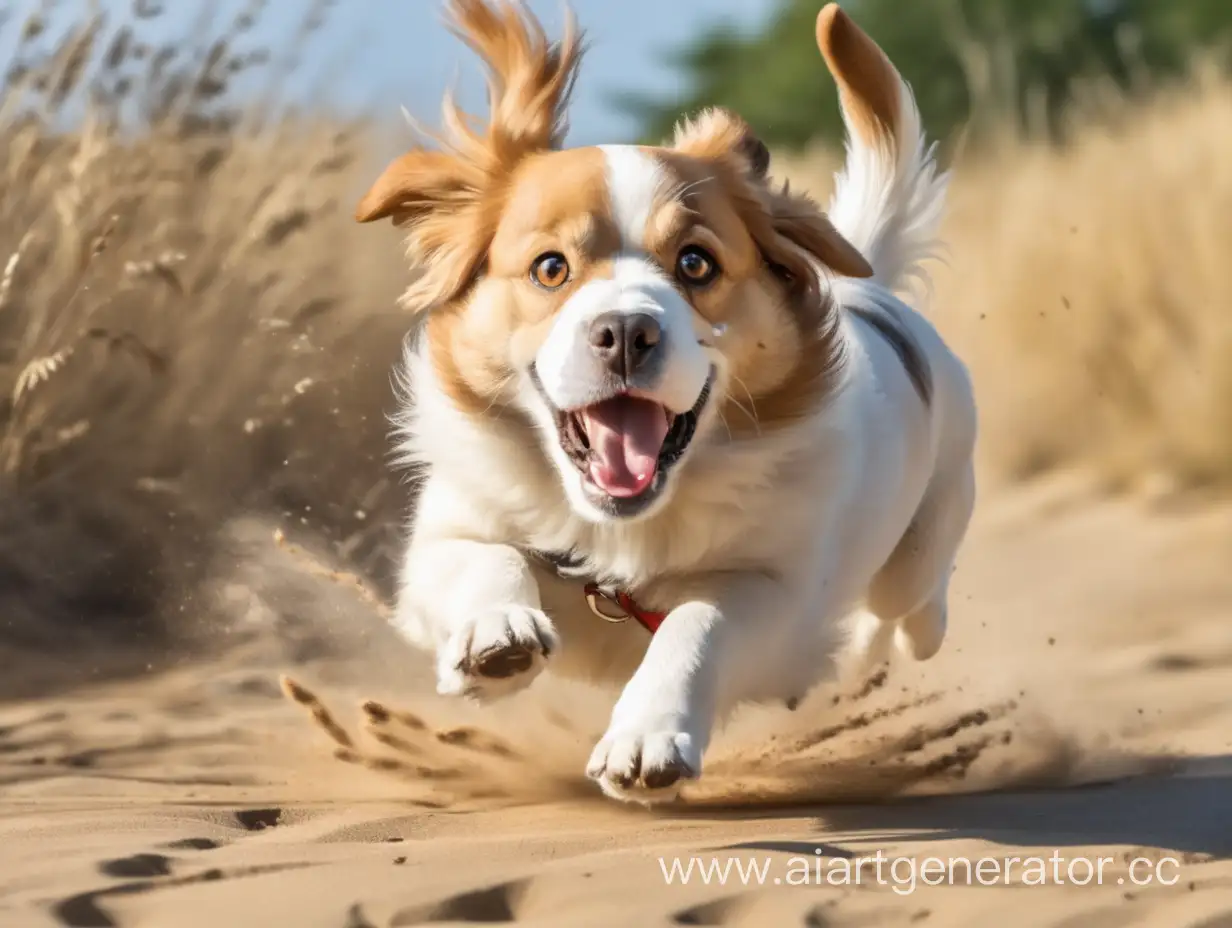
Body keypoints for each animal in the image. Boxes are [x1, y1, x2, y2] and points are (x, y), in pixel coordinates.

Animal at [352, 0, 975, 803]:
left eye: (696, 263)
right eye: (550, 267)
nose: (625, 332)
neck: (621, 533)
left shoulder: (775, 588)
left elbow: (696, 626)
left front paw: (648, 740)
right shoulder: (447, 534)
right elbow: (485, 560)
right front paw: (496, 637)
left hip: (923, 542)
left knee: (916, 612)